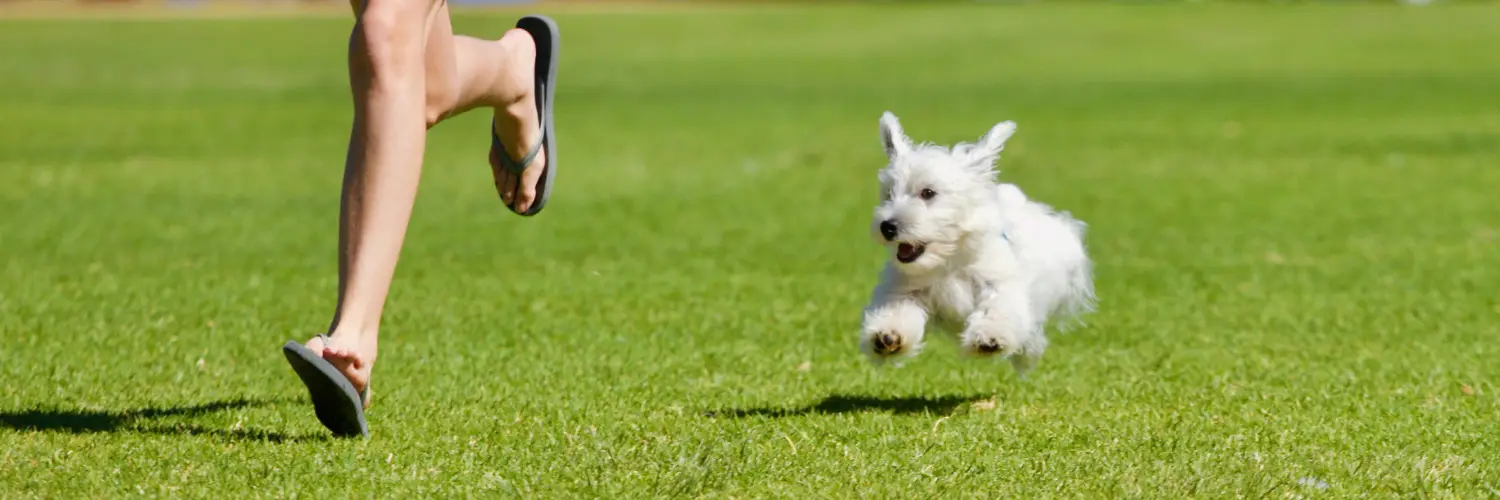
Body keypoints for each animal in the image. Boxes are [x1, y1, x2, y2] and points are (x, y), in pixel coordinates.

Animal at [864, 110, 1098, 373]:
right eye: (889, 194)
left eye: (928, 193)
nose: (887, 227)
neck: (950, 260)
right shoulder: (905, 291)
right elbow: (897, 313)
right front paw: (887, 335)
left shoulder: (999, 284)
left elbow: (997, 310)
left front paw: (989, 338)